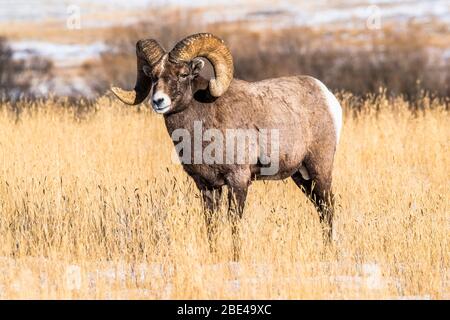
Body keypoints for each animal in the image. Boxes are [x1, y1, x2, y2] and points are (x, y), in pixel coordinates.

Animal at [111, 31, 342, 258]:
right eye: (153, 76)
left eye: (183, 74)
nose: (158, 101)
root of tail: (327, 97)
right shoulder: (207, 186)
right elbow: (211, 225)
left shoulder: (237, 180)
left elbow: (234, 223)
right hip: (301, 176)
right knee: (320, 208)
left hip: (319, 169)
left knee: (328, 207)